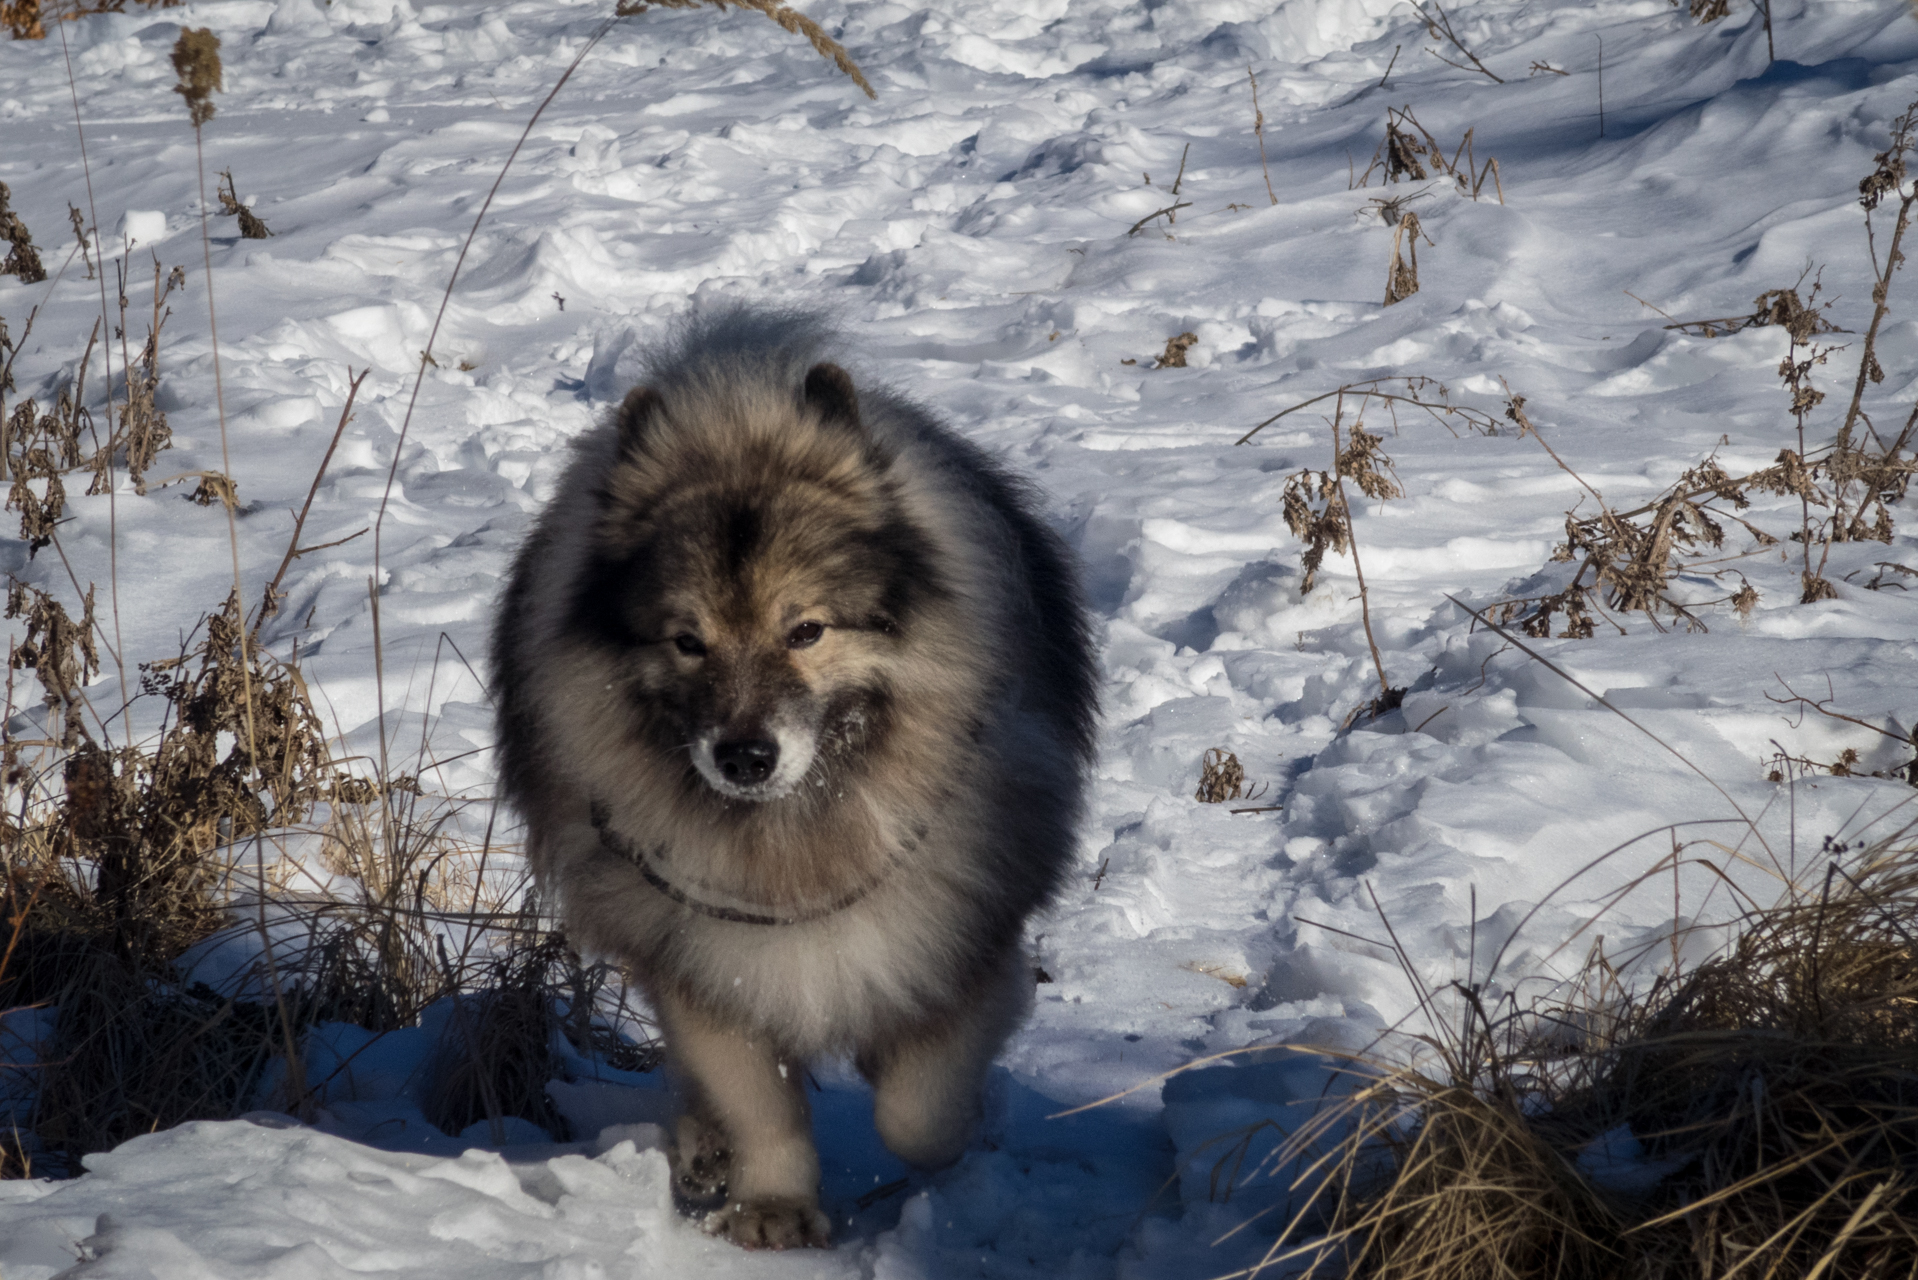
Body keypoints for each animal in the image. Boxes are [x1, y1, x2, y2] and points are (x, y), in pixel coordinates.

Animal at [491, 310, 1097, 1251]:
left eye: (806, 631)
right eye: (687, 642)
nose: (744, 757)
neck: (798, 831)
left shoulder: (956, 939)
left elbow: (919, 1114)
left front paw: (949, 1132)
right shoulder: (707, 963)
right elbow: (758, 1101)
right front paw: (771, 1205)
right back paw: (702, 1147)